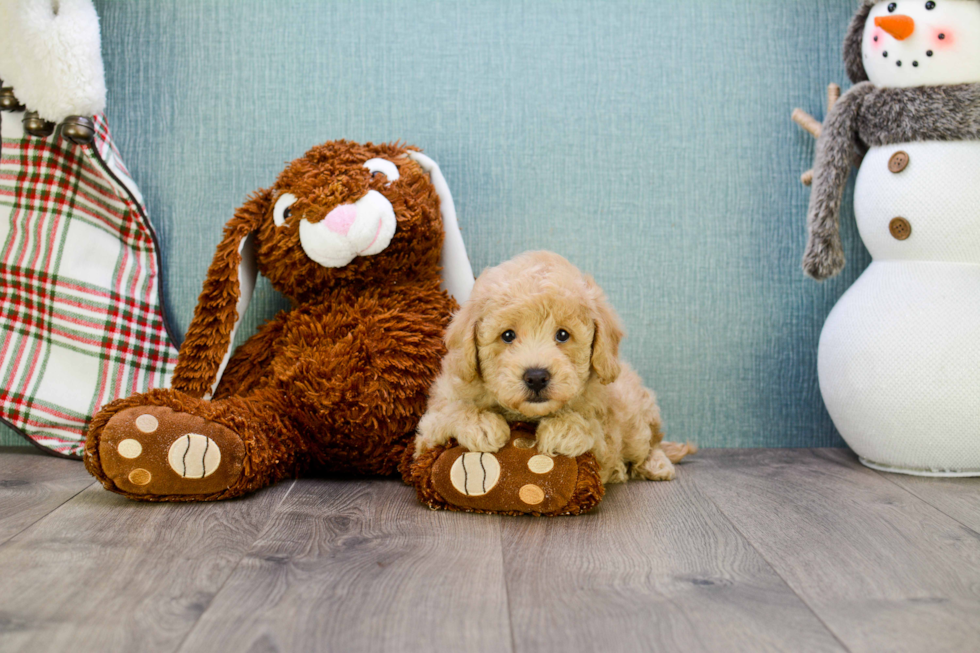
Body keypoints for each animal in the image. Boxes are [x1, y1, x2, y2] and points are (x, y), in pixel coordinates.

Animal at [418, 251, 692, 484]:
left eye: (562, 335)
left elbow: (596, 432)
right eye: (507, 335)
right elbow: (447, 414)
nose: (537, 377)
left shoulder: (607, 436)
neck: (527, 415)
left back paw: (656, 465)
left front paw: (565, 429)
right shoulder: (425, 435)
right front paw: (481, 424)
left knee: (650, 443)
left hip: (636, 420)